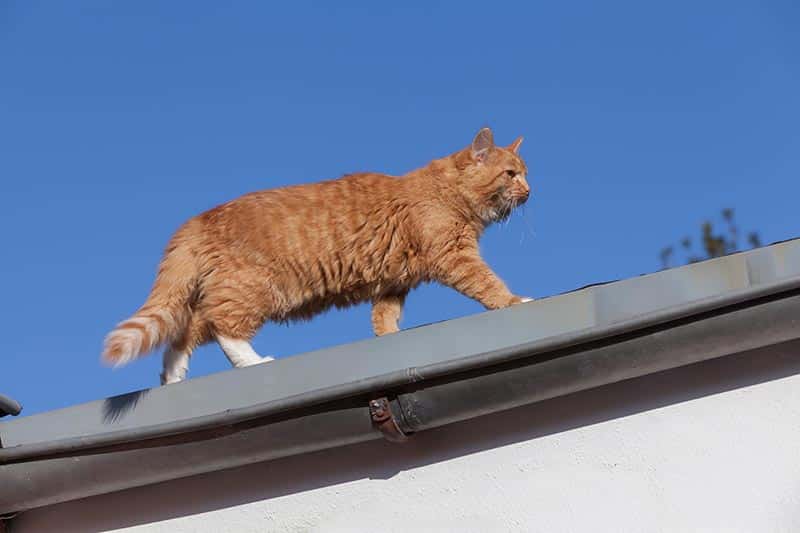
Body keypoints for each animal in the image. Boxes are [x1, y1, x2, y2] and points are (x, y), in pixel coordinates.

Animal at [103, 130, 536, 386]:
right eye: (511, 174)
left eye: (524, 173)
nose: (530, 192)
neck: (446, 190)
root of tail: (197, 219)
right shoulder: (454, 257)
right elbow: (487, 283)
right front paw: (514, 300)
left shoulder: (394, 282)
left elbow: (385, 317)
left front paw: (389, 338)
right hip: (252, 289)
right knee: (220, 325)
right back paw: (254, 362)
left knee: (183, 332)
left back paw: (174, 378)